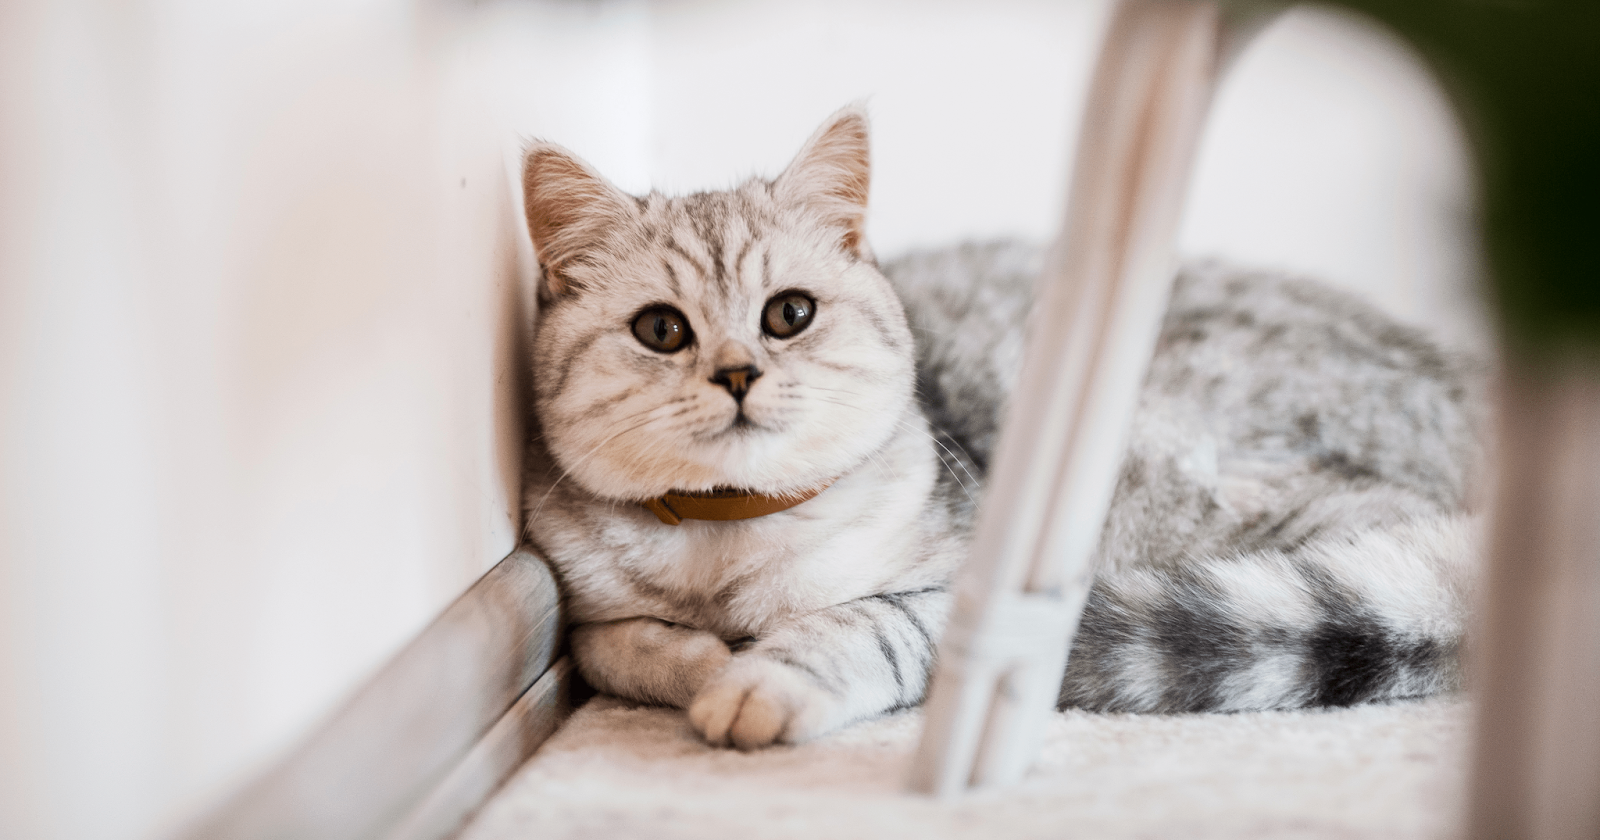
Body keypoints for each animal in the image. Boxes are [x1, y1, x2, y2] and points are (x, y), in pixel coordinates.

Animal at [518, 106, 1478, 745]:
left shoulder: (964, 591)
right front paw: (703, 662)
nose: (737, 374)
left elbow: (859, 625)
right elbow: (618, 647)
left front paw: (756, 682)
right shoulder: (586, 609)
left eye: (789, 314)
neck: (728, 540)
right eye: (661, 330)